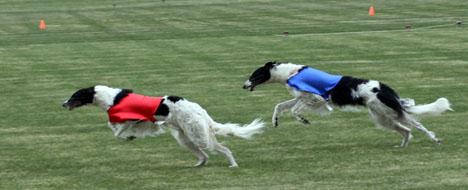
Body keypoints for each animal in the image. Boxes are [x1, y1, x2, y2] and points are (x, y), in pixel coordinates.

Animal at [243, 61, 452, 147]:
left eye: (254, 75)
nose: (243, 85)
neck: (292, 73)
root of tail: (385, 88)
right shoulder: (301, 96)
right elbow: (280, 106)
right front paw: (275, 121)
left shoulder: (316, 98)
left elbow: (295, 110)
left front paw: (303, 120)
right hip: (381, 117)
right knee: (406, 130)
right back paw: (402, 146)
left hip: (390, 112)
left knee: (416, 125)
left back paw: (435, 140)